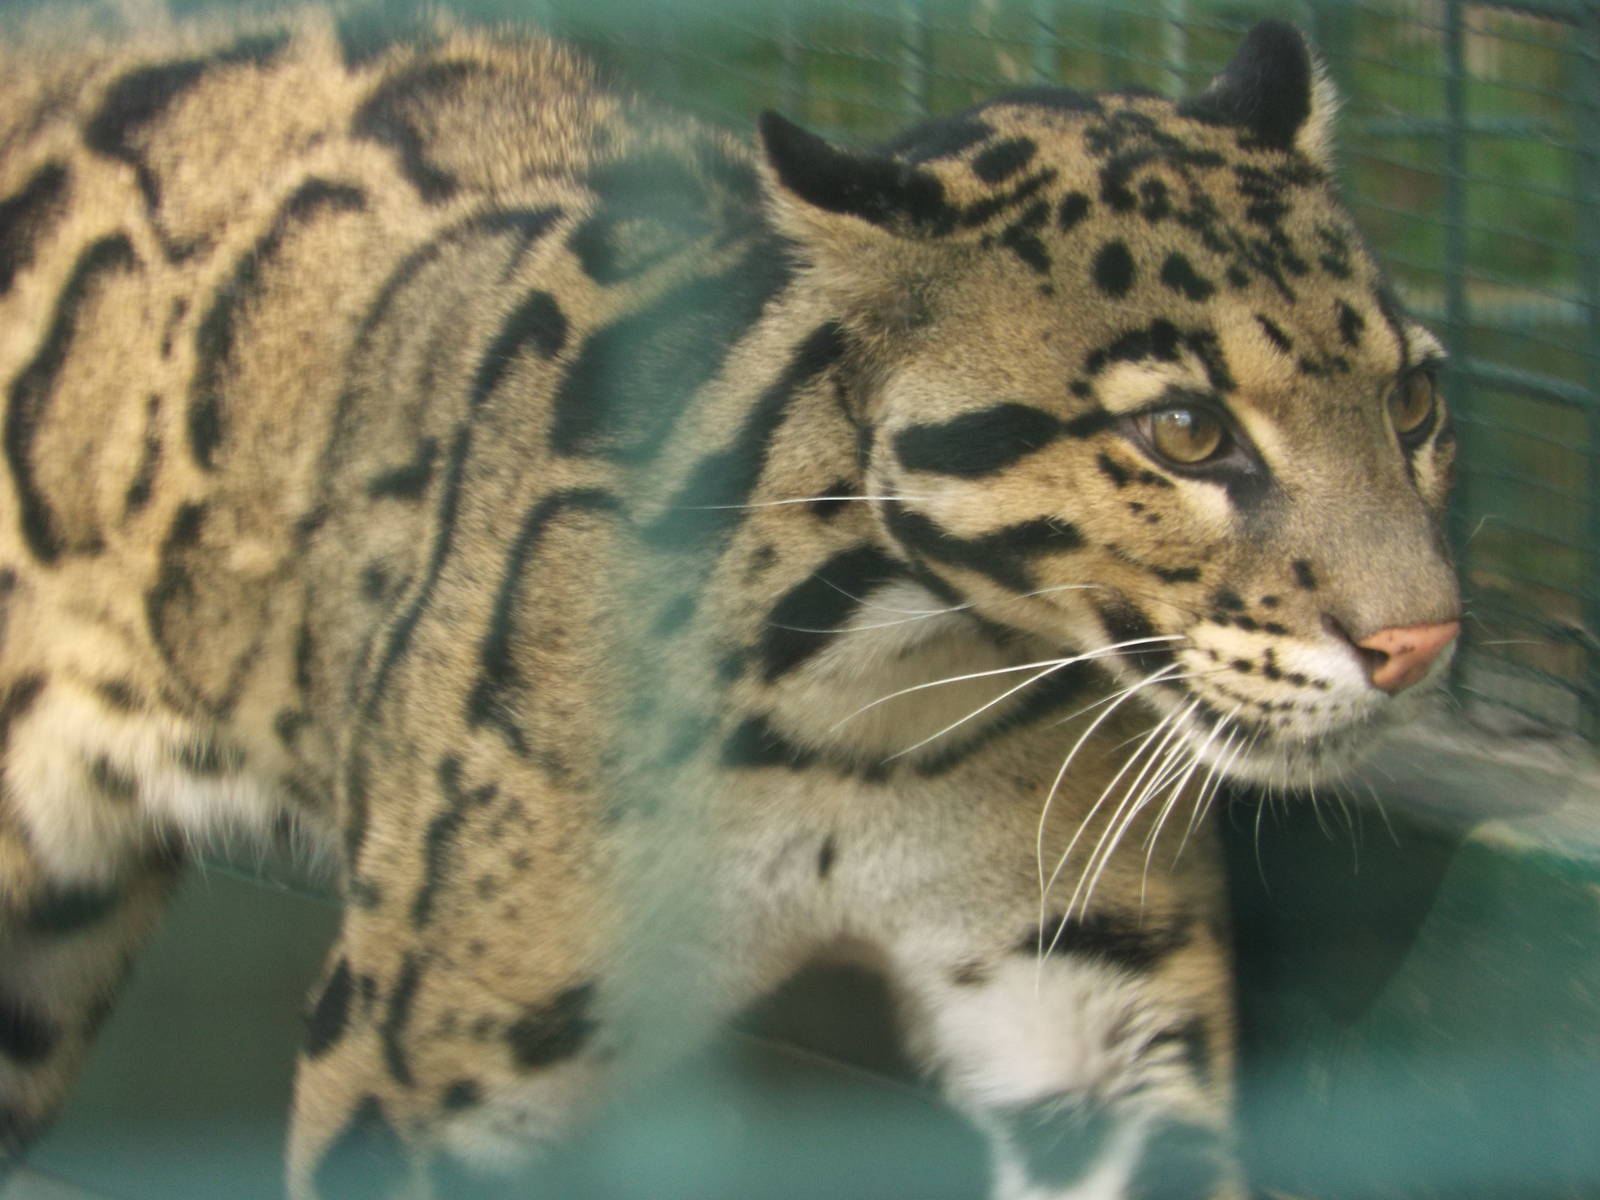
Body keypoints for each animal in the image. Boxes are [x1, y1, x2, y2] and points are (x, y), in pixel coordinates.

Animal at [0, 6, 1460, 1198]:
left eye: (1413, 401)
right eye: (1185, 431)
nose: (1420, 643)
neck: (872, 701)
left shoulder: (1096, 1000)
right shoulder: (428, 1056)